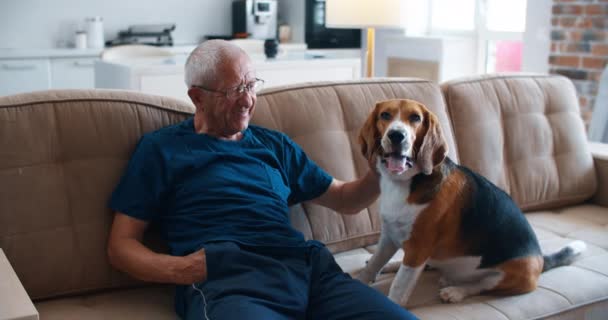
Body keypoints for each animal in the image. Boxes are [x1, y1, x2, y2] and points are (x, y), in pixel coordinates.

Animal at [356, 99, 584, 304]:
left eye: (415, 118)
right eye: (385, 115)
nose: (396, 135)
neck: (405, 182)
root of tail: (541, 258)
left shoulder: (418, 249)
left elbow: (399, 287)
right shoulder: (388, 236)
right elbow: (373, 264)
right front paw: (363, 278)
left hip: (512, 275)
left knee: (480, 286)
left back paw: (455, 291)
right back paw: (396, 265)